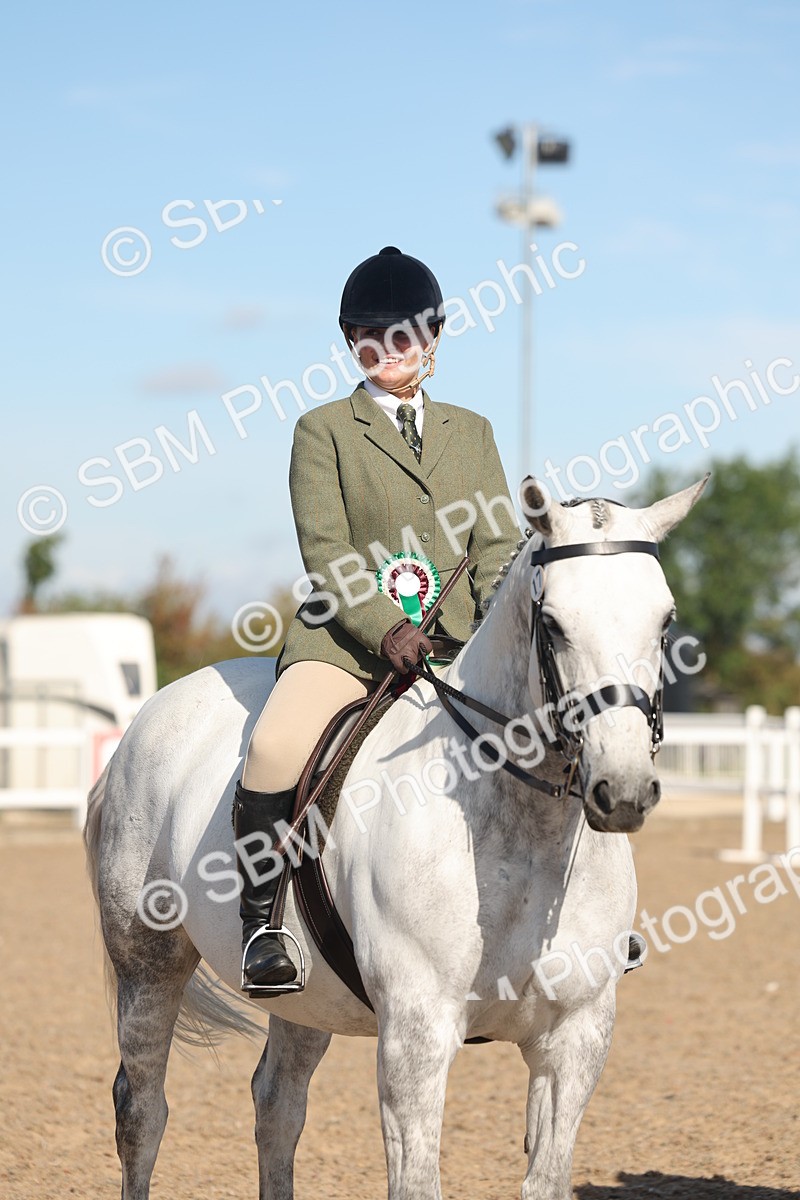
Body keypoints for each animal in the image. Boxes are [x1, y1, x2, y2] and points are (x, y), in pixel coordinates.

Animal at [84, 475, 707, 1200]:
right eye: (552, 623)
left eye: (665, 620)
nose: (624, 790)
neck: (525, 838)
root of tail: (148, 716)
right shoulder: (417, 1035)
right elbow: (415, 1181)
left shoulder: (576, 1040)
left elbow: (547, 1178)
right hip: (148, 961)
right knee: (142, 1110)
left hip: (309, 995)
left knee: (277, 1104)